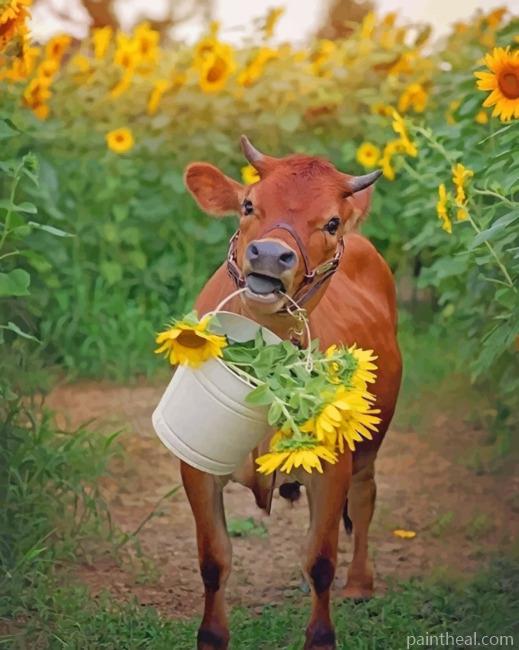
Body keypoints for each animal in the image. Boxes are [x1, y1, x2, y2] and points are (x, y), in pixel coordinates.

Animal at [181, 136, 402, 650]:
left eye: (331, 222)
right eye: (248, 205)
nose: (268, 255)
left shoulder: (333, 466)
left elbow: (321, 560)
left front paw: (321, 636)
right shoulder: (196, 465)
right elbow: (214, 560)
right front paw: (211, 635)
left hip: (371, 439)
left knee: (364, 499)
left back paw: (359, 583)